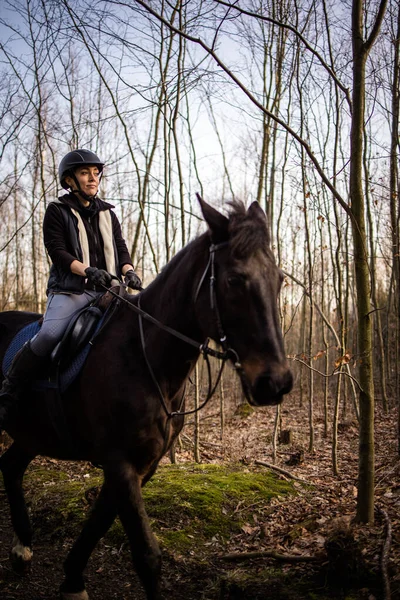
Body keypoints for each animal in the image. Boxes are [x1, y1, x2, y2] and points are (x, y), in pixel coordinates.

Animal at [0, 195, 292, 596]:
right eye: (234, 279)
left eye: (279, 280)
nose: (275, 383)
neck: (143, 357)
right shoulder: (120, 462)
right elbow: (147, 556)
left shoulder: (140, 465)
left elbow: (96, 526)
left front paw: (73, 579)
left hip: (33, 434)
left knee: (10, 467)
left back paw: (22, 549)